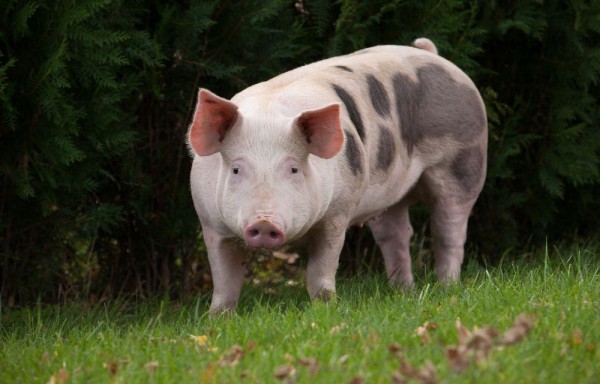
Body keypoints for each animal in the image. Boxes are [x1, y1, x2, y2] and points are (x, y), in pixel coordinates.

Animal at [188, 38, 488, 316]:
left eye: (294, 169)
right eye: (236, 169)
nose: (264, 221)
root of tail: (433, 54)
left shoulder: (337, 214)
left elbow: (320, 270)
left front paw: (325, 309)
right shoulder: (211, 224)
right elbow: (224, 281)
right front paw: (217, 319)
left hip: (465, 163)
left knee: (448, 231)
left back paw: (448, 288)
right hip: (389, 194)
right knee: (396, 234)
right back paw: (403, 291)